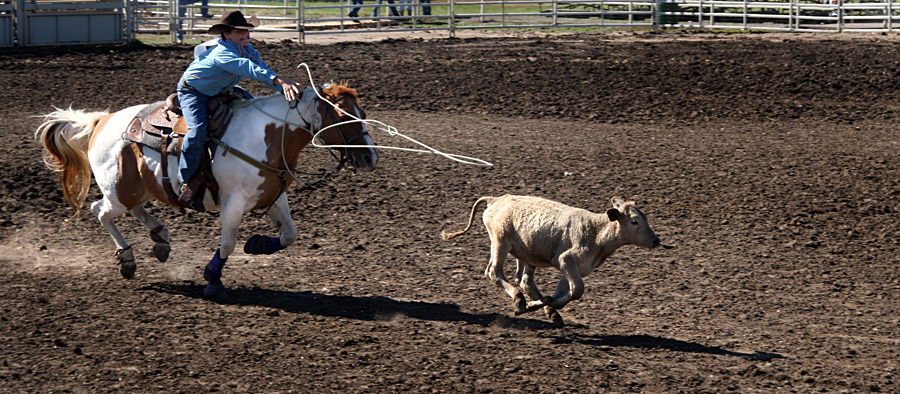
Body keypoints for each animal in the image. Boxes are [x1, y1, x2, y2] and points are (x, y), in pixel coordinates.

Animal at [36, 84, 376, 298]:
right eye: (344, 116)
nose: (371, 157)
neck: (266, 135)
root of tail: (101, 120)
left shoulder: (274, 195)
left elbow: (289, 235)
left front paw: (256, 245)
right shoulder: (232, 203)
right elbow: (227, 244)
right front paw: (213, 279)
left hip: (140, 187)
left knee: (134, 209)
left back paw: (160, 239)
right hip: (119, 189)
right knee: (101, 212)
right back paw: (128, 259)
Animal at [442, 195, 660, 324]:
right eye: (634, 222)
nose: (656, 241)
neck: (596, 232)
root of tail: (495, 199)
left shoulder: (572, 268)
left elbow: (564, 292)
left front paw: (545, 305)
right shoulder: (566, 259)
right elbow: (577, 290)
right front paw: (541, 304)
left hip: (525, 254)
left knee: (524, 281)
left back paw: (538, 306)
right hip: (500, 242)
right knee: (495, 272)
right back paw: (519, 300)